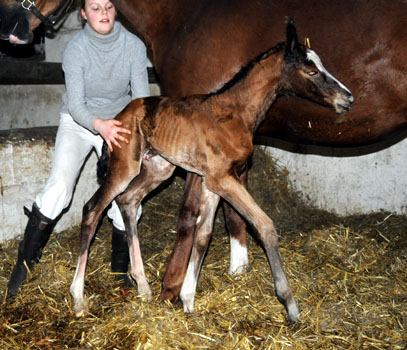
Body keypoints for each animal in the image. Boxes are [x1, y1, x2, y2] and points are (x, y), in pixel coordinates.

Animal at [71, 21, 354, 322]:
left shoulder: (212, 182)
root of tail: (118, 117)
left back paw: (144, 288)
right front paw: (289, 304)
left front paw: (187, 300)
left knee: (128, 200)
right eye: (310, 70)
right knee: (92, 209)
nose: (348, 98)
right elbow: (264, 225)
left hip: (159, 169)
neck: (236, 113)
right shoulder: (222, 179)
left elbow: (204, 233)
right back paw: (79, 300)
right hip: (125, 166)